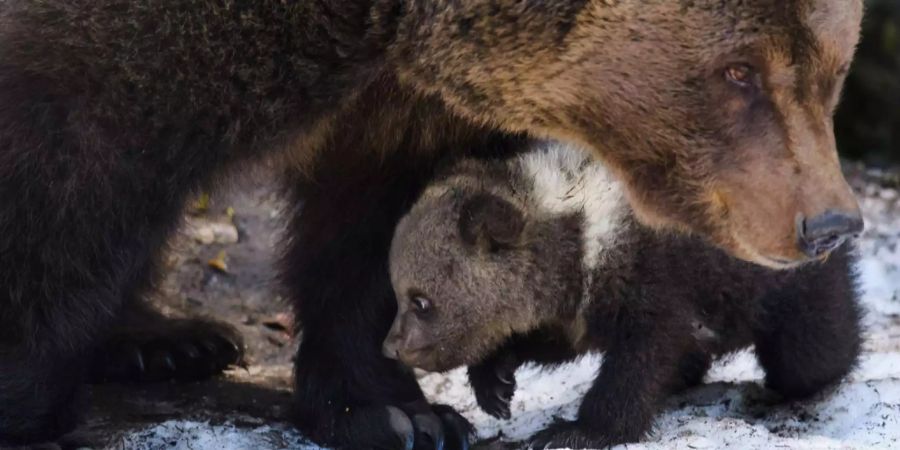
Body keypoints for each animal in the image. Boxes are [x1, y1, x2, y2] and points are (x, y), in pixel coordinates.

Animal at [0, 0, 864, 450]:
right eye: (738, 71)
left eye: (834, 68)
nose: (829, 224)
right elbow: (65, 164)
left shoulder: (400, 101)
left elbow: (365, 226)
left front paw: (399, 411)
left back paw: (171, 341)